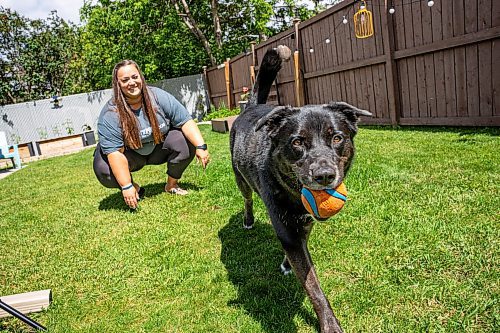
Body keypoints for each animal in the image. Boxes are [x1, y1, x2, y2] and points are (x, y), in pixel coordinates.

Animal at [230, 45, 372, 330]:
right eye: (297, 142)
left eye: (337, 137)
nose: (324, 175)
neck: (294, 196)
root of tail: (251, 107)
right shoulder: (287, 230)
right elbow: (313, 287)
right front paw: (329, 324)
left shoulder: (303, 226)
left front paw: (286, 265)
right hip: (240, 178)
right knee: (247, 198)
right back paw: (248, 220)